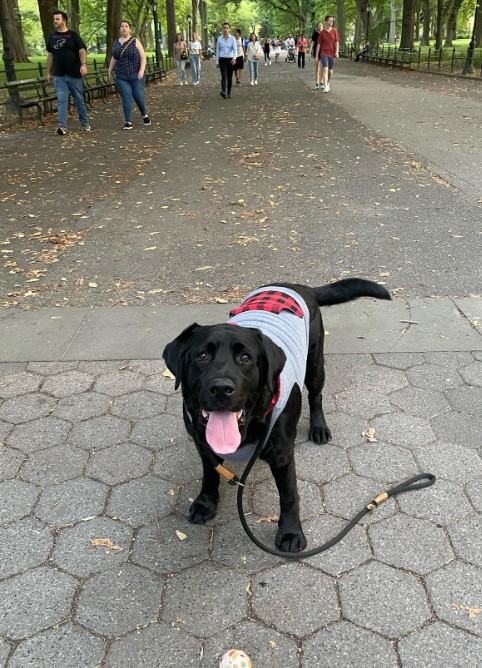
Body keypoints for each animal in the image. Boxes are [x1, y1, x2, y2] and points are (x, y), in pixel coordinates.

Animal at [164, 278, 390, 552]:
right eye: (202, 355)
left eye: (245, 357)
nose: (221, 388)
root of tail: (298, 286)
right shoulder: (202, 444)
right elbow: (210, 475)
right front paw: (205, 503)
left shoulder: (282, 455)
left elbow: (289, 495)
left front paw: (290, 532)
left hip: (315, 362)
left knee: (316, 396)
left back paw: (319, 428)